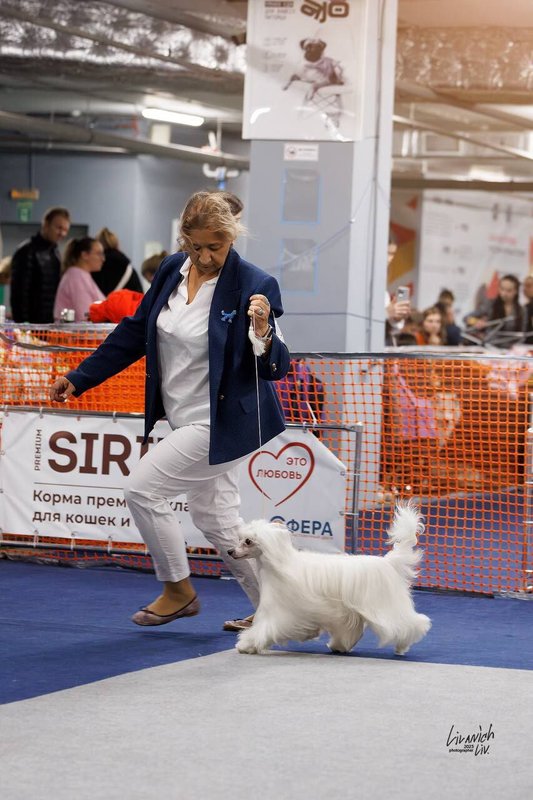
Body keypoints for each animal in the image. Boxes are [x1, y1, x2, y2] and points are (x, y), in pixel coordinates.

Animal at [228, 502, 431, 655]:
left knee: (410, 623)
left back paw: (402, 645)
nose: (230, 551)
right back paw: (339, 646)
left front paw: (246, 645)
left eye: (248, 541)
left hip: (386, 606)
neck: (280, 562)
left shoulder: (281, 612)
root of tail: (388, 562)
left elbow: (264, 629)